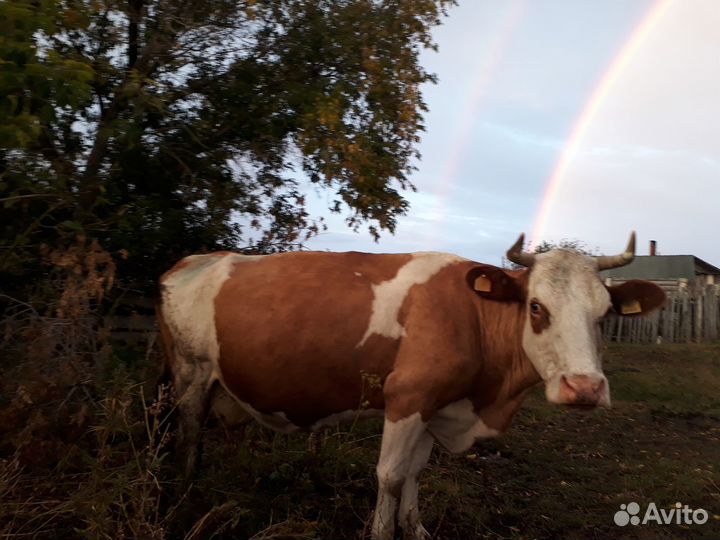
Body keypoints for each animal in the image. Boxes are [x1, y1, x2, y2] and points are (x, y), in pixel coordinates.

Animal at [157, 232, 665, 540]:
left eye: (605, 314)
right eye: (537, 307)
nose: (585, 388)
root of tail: (198, 258)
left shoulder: (436, 405)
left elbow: (417, 472)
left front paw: (415, 528)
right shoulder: (406, 398)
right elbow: (391, 475)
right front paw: (384, 530)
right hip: (191, 373)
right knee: (187, 437)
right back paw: (183, 500)